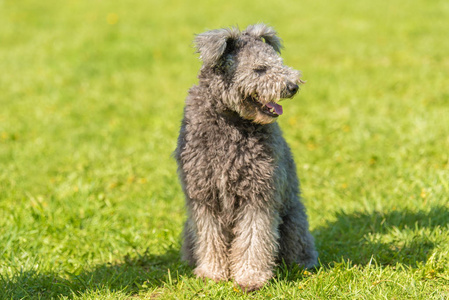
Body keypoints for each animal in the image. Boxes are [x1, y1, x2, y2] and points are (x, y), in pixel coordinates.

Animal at [173, 24, 316, 292]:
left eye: (279, 62)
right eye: (259, 69)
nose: (293, 86)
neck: (231, 122)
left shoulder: (258, 194)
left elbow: (254, 239)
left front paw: (250, 278)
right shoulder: (204, 196)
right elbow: (210, 238)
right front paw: (212, 273)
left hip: (293, 221)